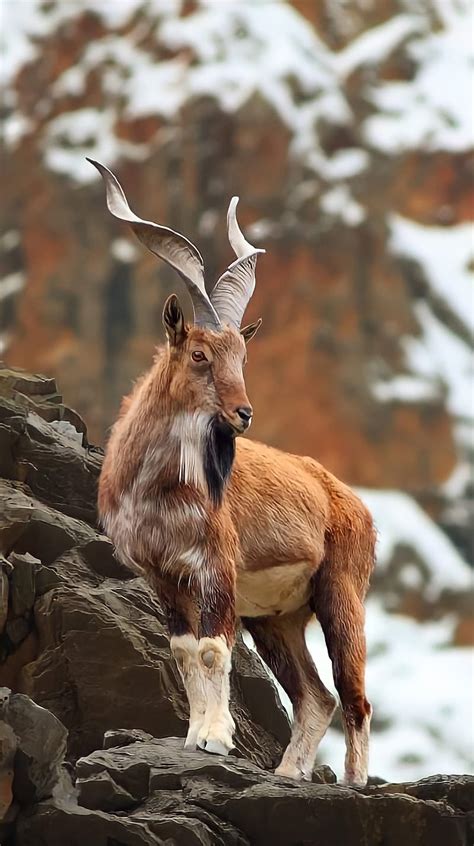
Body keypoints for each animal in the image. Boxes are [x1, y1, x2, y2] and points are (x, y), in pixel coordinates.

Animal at [90, 161, 376, 788]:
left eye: (241, 357)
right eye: (199, 353)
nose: (243, 413)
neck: (156, 490)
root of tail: (352, 504)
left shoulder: (216, 564)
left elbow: (212, 649)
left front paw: (217, 739)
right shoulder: (164, 576)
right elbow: (183, 649)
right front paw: (195, 735)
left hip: (340, 592)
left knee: (353, 694)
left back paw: (355, 780)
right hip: (277, 618)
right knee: (315, 696)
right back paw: (288, 772)